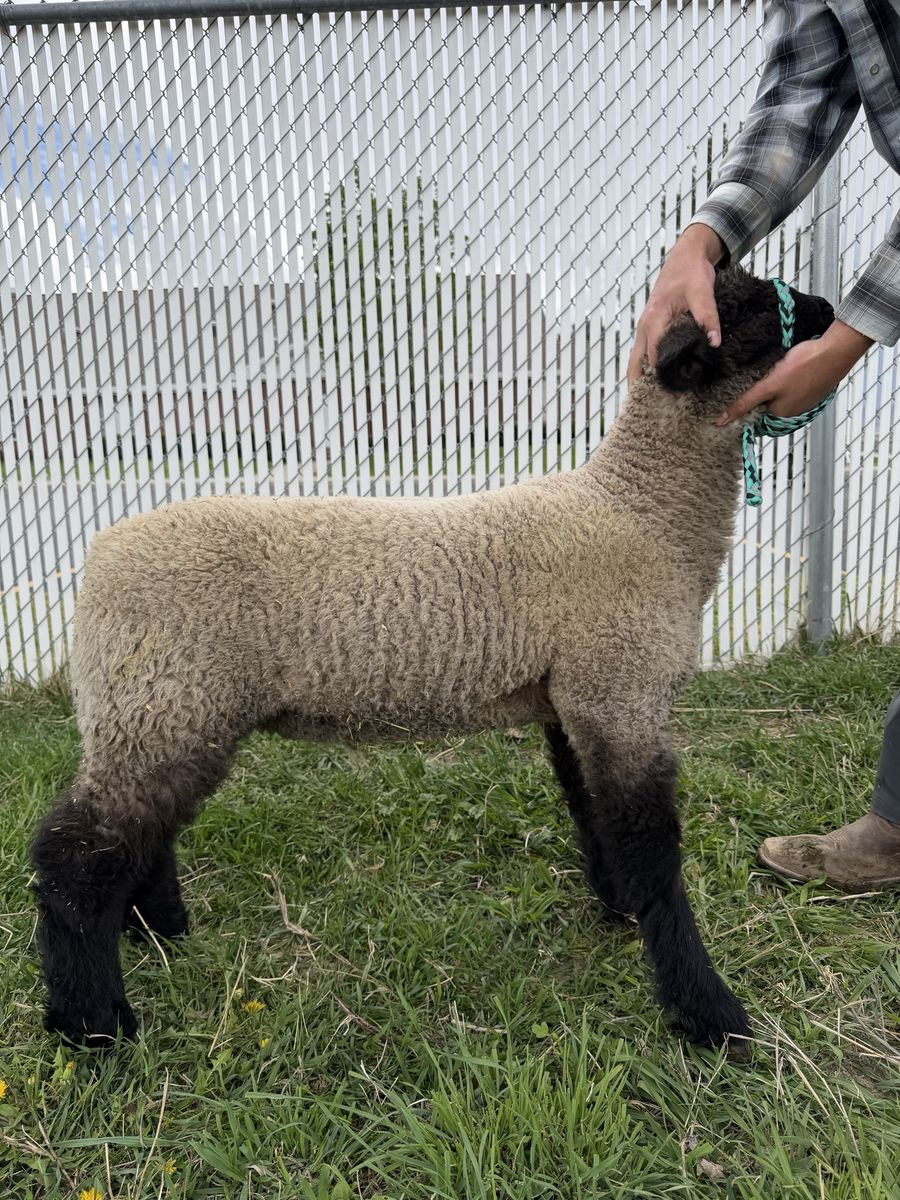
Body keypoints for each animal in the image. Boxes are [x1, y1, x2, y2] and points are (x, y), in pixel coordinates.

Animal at [30, 266, 834, 1050]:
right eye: (755, 306)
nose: (827, 310)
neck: (640, 514)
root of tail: (97, 560)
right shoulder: (622, 691)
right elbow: (653, 850)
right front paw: (709, 1013)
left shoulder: (576, 698)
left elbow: (596, 817)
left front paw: (621, 912)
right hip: (163, 698)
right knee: (74, 856)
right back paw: (92, 1022)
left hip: (162, 709)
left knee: (139, 830)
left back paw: (158, 928)